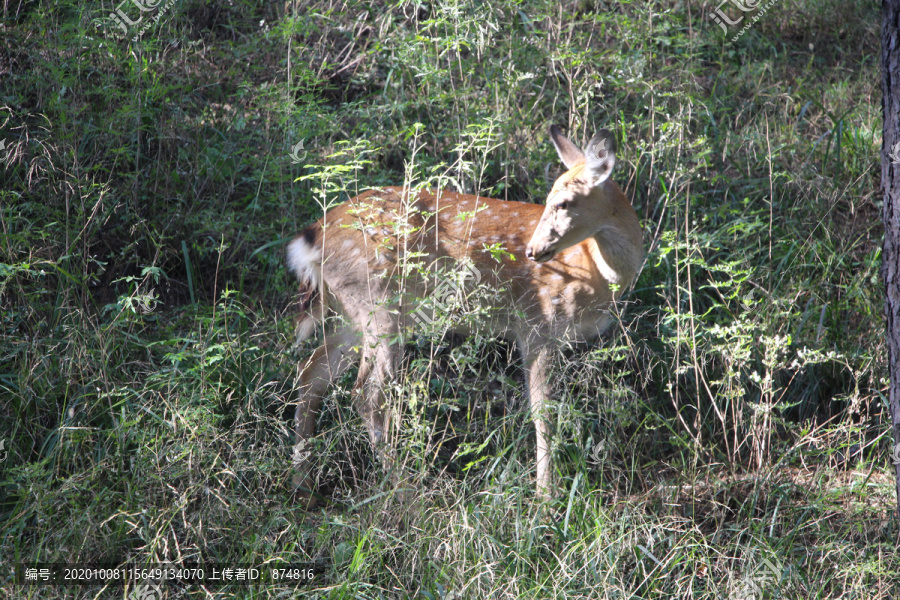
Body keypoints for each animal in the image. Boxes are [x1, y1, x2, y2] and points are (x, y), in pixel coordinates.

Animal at [284, 124, 644, 504]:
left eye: (563, 203)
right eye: (548, 200)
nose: (533, 251)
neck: (595, 268)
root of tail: (312, 237)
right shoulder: (538, 323)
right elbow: (542, 410)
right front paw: (546, 497)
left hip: (354, 312)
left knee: (312, 372)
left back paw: (303, 484)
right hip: (381, 305)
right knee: (368, 394)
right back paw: (402, 488)